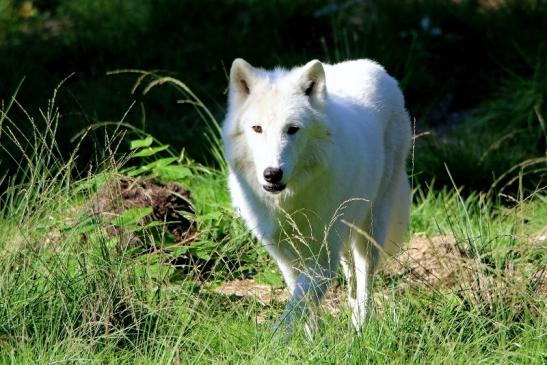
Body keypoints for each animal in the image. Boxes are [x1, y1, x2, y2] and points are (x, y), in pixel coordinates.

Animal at [223, 58, 412, 334]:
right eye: (257, 129)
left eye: (292, 129)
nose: (272, 174)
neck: (289, 203)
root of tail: (376, 67)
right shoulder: (286, 256)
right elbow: (301, 301)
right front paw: (312, 337)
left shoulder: (322, 262)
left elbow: (294, 310)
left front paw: (278, 340)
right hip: (343, 234)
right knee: (351, 277)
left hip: (369, 227)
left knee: (364, 275)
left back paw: (360, 326)